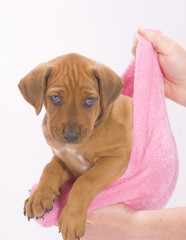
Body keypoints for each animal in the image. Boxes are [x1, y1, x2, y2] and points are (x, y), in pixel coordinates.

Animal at [18, 54, 132, 240]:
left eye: (90, 100)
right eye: (55, 98)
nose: (71, 136)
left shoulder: (117, 157)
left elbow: (85, 181)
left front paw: (71, 219)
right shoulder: (67, 161)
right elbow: (49, 168)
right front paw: (39, 196)